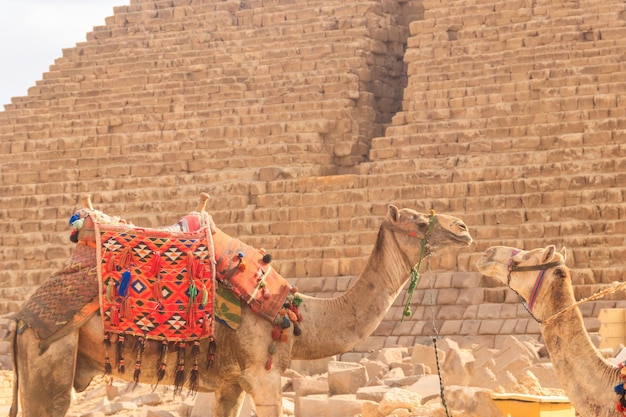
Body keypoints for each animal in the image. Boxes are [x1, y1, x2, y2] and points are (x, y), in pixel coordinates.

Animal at [12, 199, 470, 416]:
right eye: (420, 221)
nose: (464, 228)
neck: (299, 319)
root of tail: (22, 317)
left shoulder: (230, 382)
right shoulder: (262, 375)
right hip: (50, 355)